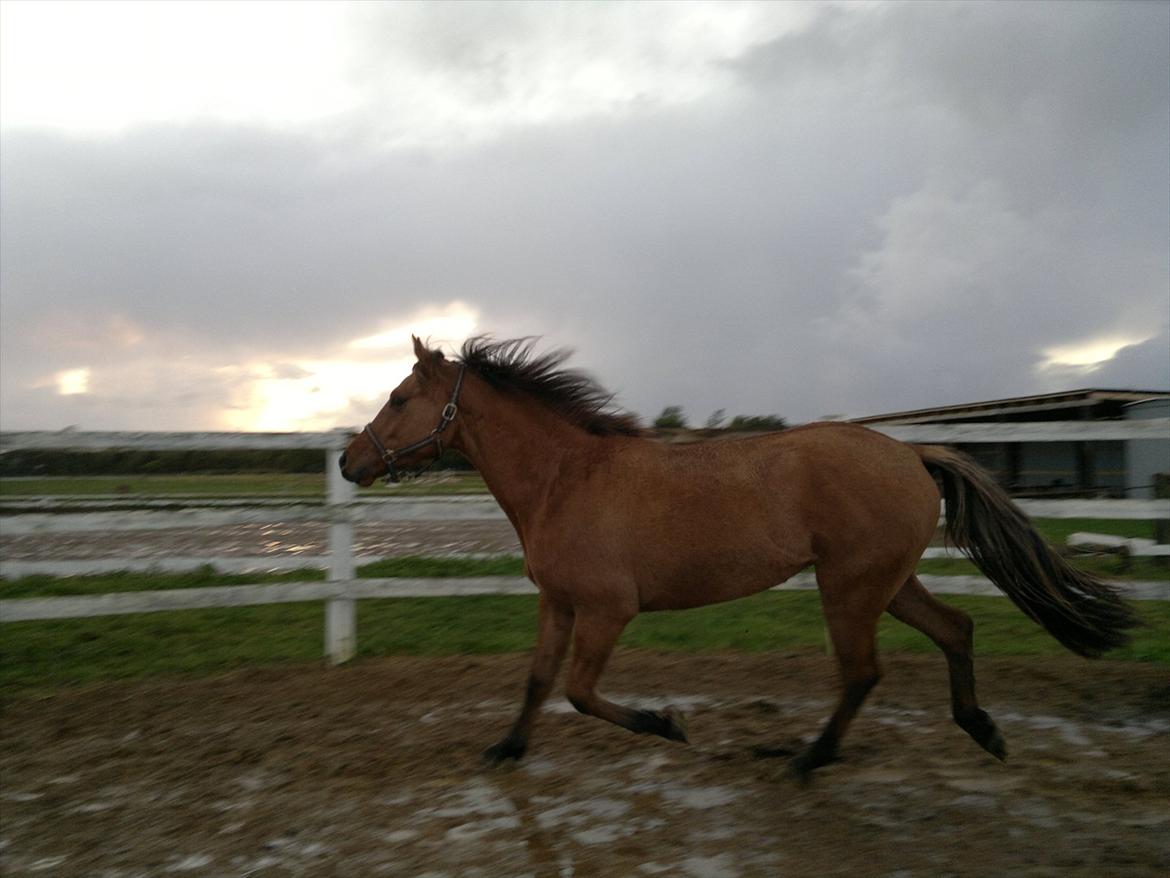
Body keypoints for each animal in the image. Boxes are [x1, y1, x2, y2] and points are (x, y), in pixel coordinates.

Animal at [340, 336, 1137, 779]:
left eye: (401, 397)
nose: (350, 462)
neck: (566, 479)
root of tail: (912, 453)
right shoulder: (557, 602)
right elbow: (537, 682)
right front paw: (505, 751)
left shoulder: (607, 609)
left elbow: (580, 691)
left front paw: (668, 725)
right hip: (888, 582)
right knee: (956, 630)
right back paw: (982, 731)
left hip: (849, 588)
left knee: (863, 673)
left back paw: (809, 760)